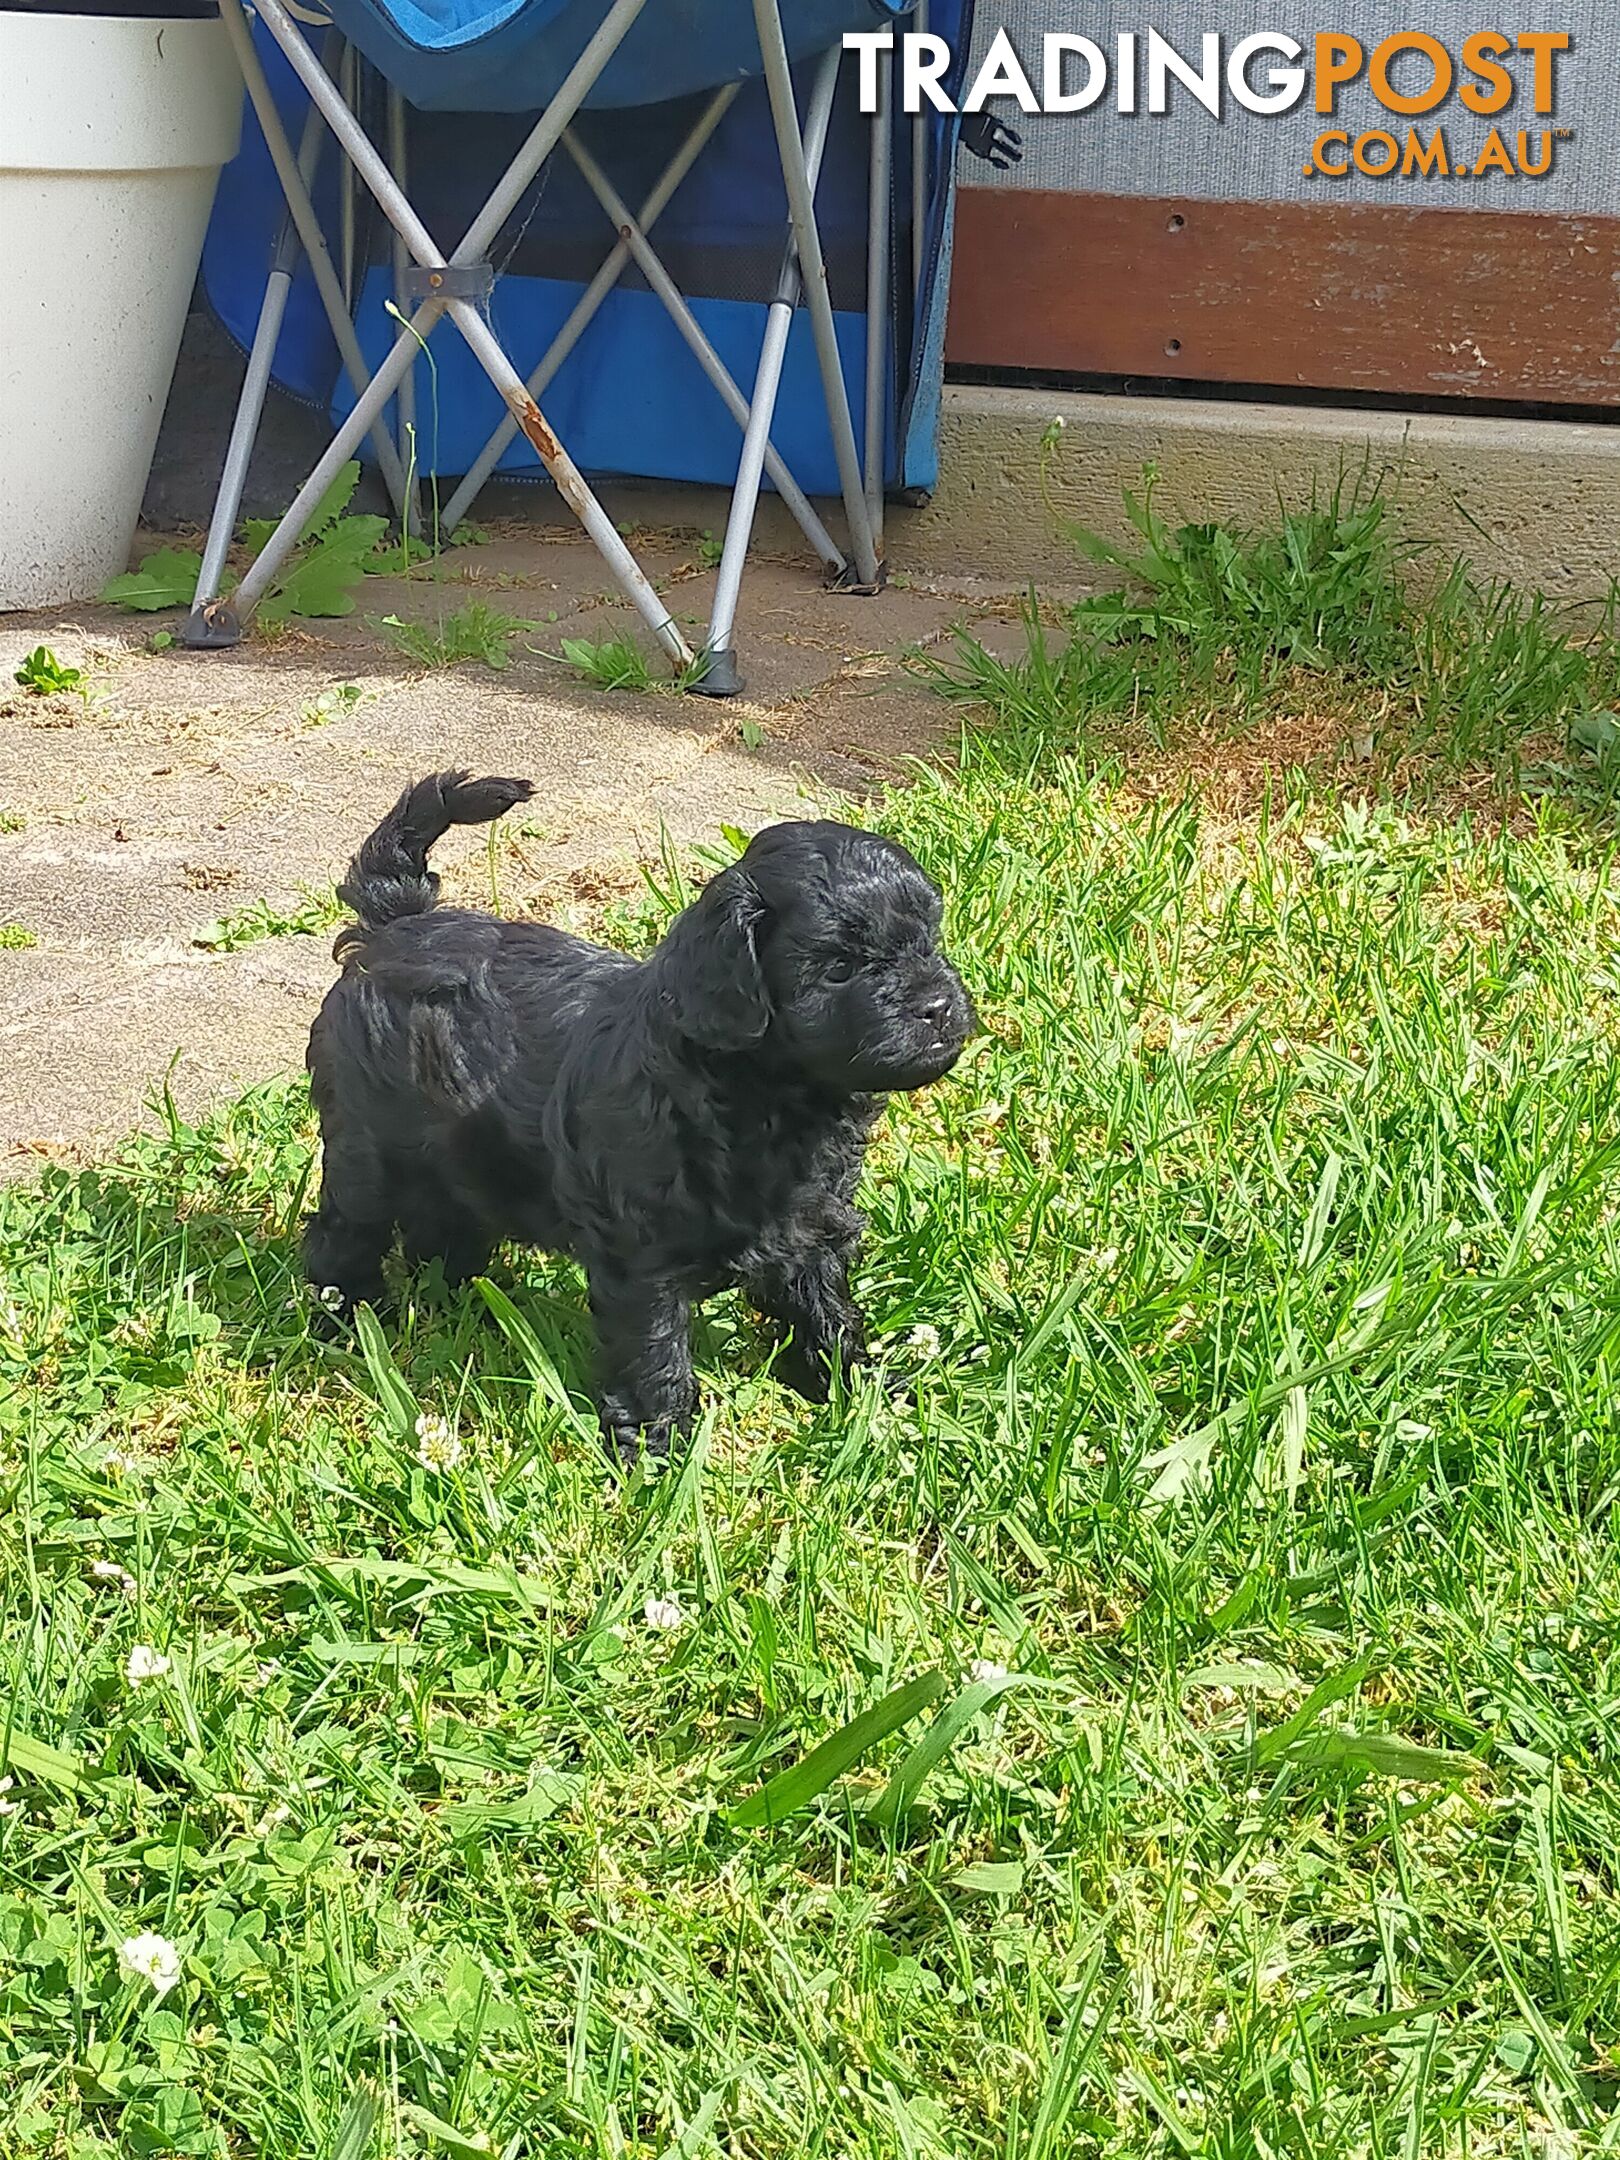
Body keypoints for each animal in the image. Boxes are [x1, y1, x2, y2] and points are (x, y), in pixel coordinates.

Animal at [304, 768, 976, 1460]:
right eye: (840, 967)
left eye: (929, 943)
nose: (938, 1005)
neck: (758, 1092)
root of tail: (394, 927)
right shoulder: (640, 1255)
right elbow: (653, 1349)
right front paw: (660, 1443)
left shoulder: (807, 1225)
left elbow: (826, 1306)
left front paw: (864, 1388)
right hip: (368, 1147)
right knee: (345, 1231)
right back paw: (348, 1316)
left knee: (443, 1225)